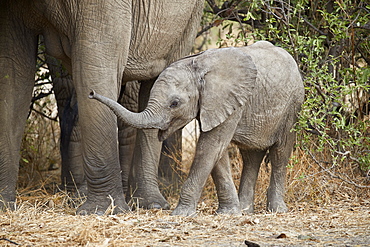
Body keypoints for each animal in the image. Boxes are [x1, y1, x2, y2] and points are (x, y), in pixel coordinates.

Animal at [0, 0, 202, 214]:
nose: (92, 94)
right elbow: (12, 71)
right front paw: (4, 205)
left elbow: (95, 62)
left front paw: (102, 210)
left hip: (189, 18)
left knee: (159, 74)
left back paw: (149, 204)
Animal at [89, 41, 304, 216]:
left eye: (175, 103)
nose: (91, 93)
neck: (198, 65)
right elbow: (217, 152)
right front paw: (229, 213)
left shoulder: (230, 101)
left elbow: (210, 146)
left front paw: (181, 214)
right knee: (251, 156)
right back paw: (246, 210)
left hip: (293, 107)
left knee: (280, 153)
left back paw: (277, 210)